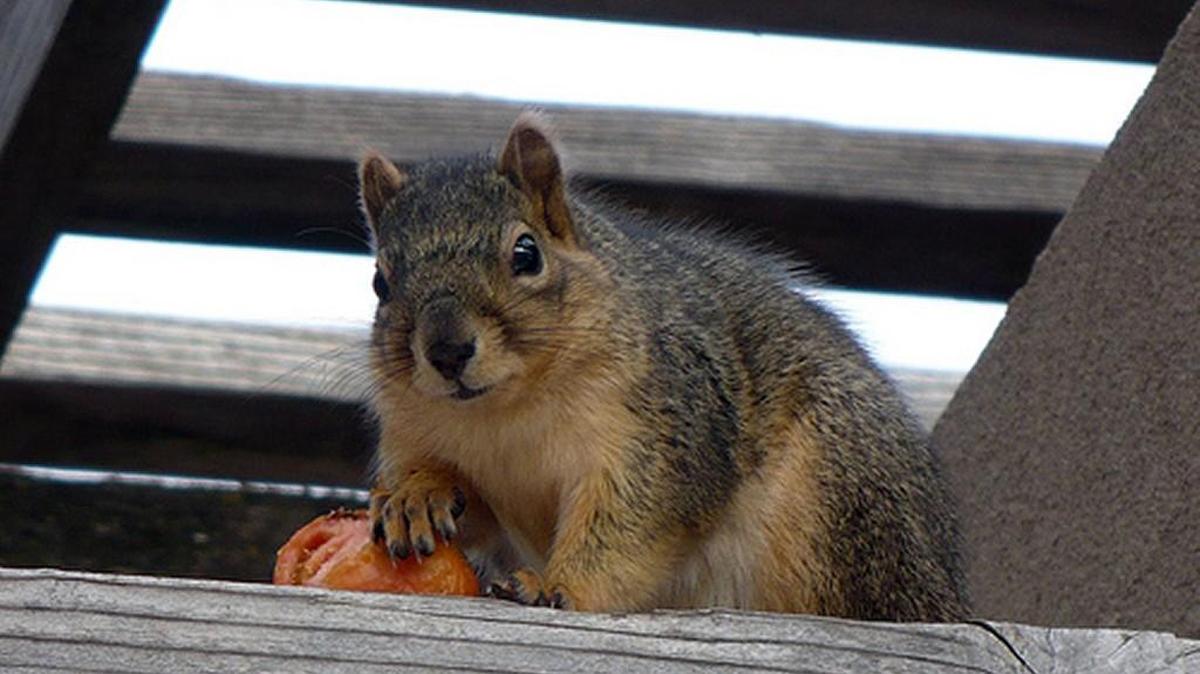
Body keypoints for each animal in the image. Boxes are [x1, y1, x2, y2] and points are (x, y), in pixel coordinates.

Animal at [359, 112, 969, 621]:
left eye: (526, 254)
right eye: (380, 282)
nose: (447, 351)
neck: (505, 412)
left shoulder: (665, 437)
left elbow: (626, 529)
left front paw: (557, 588)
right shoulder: (421, 430)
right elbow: (467, 503)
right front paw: (417, 494)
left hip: (836, 493)